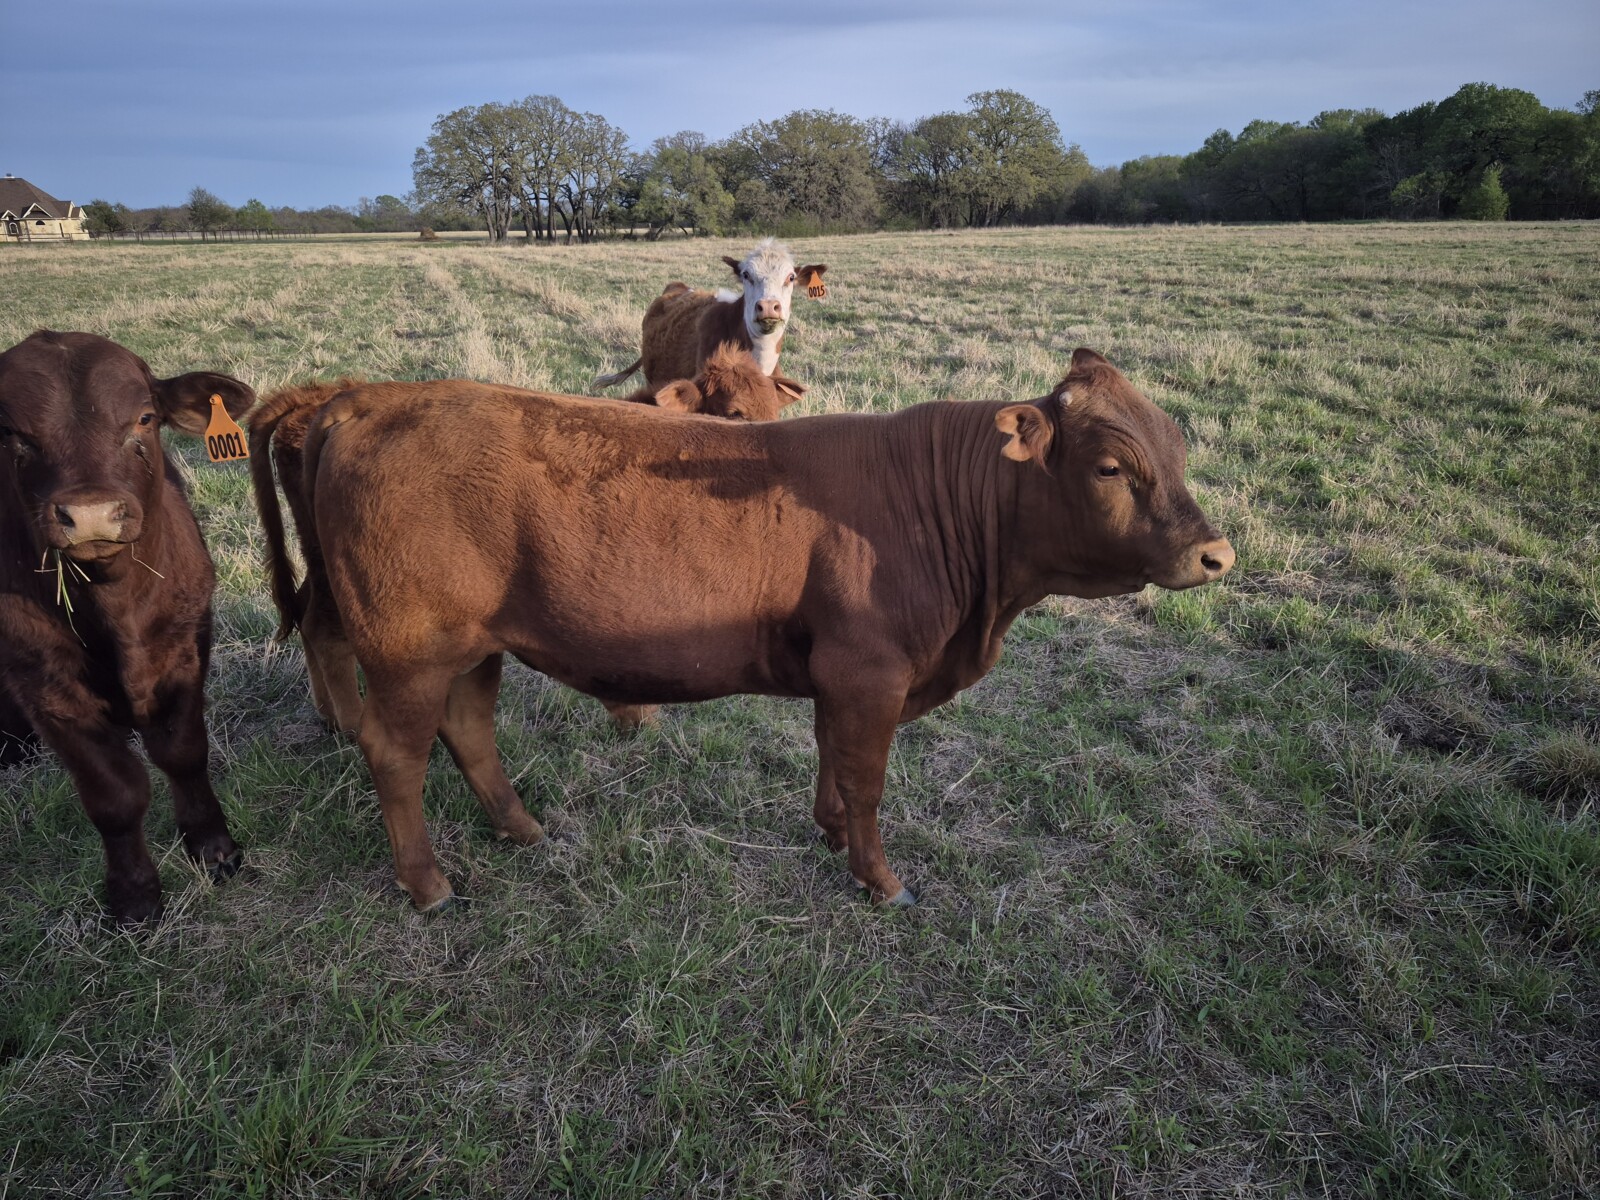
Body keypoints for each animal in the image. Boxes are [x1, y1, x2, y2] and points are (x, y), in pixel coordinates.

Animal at [0, 330, 255, 924]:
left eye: (144, 418)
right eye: (12, 432)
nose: (91, 514)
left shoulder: (182, 653)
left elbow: (183, 754)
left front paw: (213, 848)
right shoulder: (48, 687)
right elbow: (115, 796)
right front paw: (135, 896)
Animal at [249, 344, 806, 736]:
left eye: (774, 408)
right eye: (733, 413)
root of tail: (320, 401)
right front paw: (637, 713)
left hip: (320, 561)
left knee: (305, 616)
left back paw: (327, 716)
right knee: (323, 630)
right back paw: (347, 725)